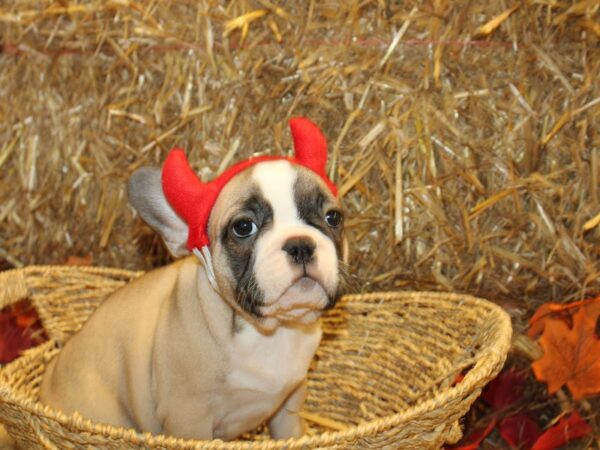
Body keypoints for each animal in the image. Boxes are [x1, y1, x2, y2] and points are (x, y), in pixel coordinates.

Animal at [39, 117, 346, 440]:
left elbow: (290, 432)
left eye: (333, 218)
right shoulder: (188, 417)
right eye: (243, 227)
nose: (300, 244)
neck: (272, 330)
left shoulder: (291, 402)